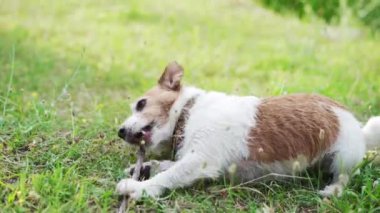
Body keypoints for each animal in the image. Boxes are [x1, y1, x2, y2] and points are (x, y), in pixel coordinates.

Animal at [116, 61, 380, 200]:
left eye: (141, 104)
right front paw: (145, 168)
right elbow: (166, 166)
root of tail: (359, 128)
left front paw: (138, 188)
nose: (120, 131)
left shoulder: (201, 160)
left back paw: (332, 190)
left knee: (345, 177)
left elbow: (169, 175)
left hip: (343, 157)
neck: (188, 112)